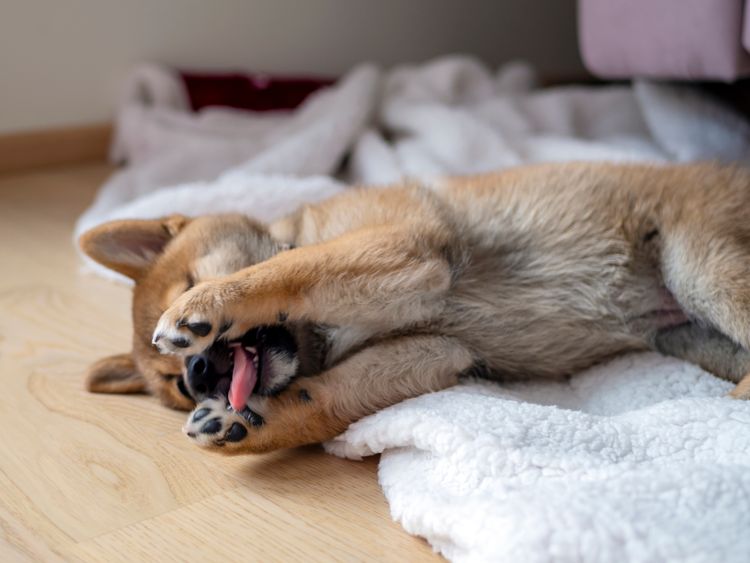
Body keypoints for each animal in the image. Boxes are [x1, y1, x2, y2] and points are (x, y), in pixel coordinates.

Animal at [79, 162, 750, 454]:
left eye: (190, 280)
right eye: (178, 389)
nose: (197, 372)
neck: (322, 333)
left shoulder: (404, 248)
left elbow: (292, 268)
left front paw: (211, 303)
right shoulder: (438, 351)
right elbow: (323, 400)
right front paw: (250, 424)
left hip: (701, 267)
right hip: (687, 332)